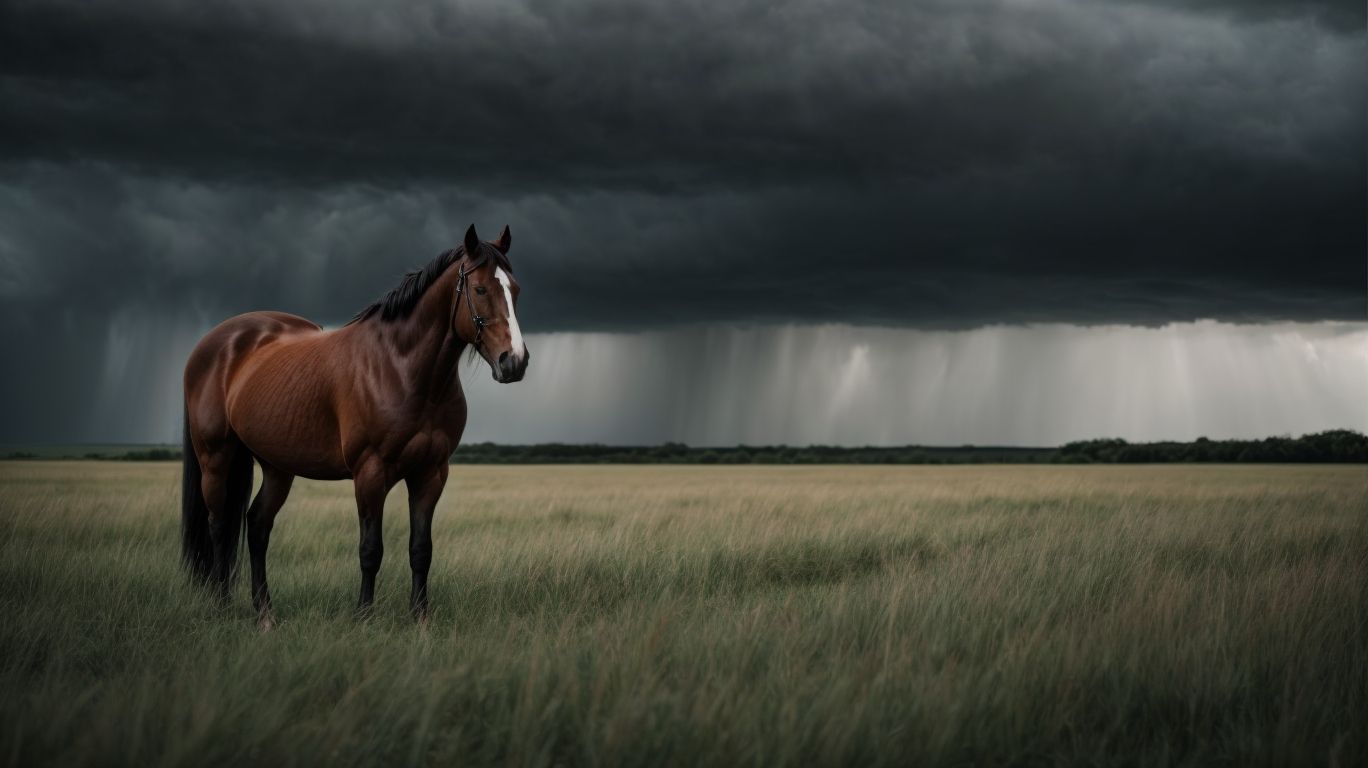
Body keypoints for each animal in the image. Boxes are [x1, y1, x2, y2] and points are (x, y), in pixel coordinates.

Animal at [180, 224, 527, 627]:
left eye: (515, 289)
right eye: (481, 289)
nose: (514, 361)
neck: (401, 367)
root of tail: (214, 342)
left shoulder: (431, 473)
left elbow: (421, 549)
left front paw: (420, 619)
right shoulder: (370, 473)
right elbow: (370, 549)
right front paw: (364, 617)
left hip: (277, 467)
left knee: (256, 525)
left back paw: (265, 613)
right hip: (216, 458)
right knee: (220, 526)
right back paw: (222, 605)